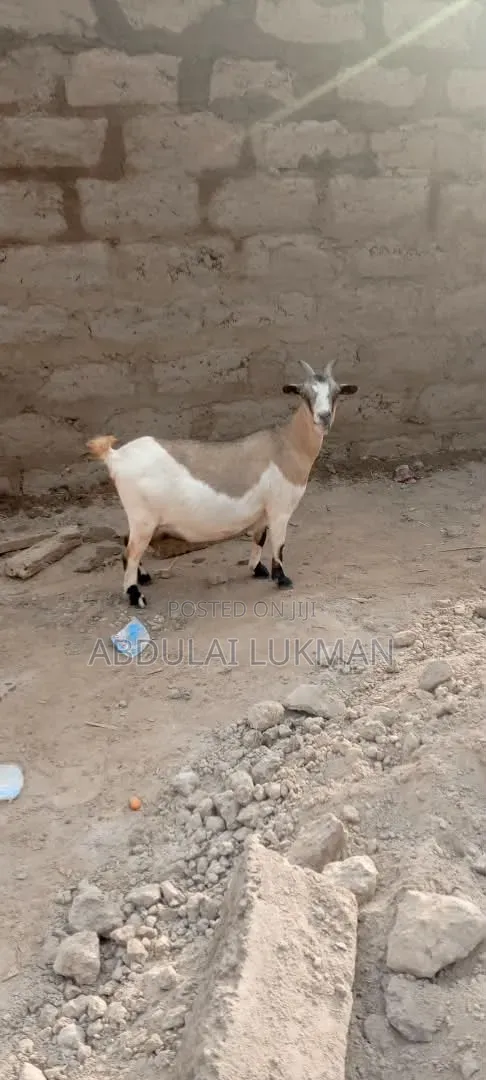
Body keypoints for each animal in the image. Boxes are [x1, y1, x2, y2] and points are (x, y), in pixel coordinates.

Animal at [87, 358, 358, 607]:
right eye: (304, 393)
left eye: (336, 393)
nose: (323, 417)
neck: (287, 444)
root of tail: (116, 456)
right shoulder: (280, 508)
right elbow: (279, 544)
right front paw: (282, 578)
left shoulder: (262, 510)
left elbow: (259, 537)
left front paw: (257, 569)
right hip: (143, 517)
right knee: (130, 553)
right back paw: (135, 595)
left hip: (142, 519)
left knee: (126, 542)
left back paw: (143, 577)